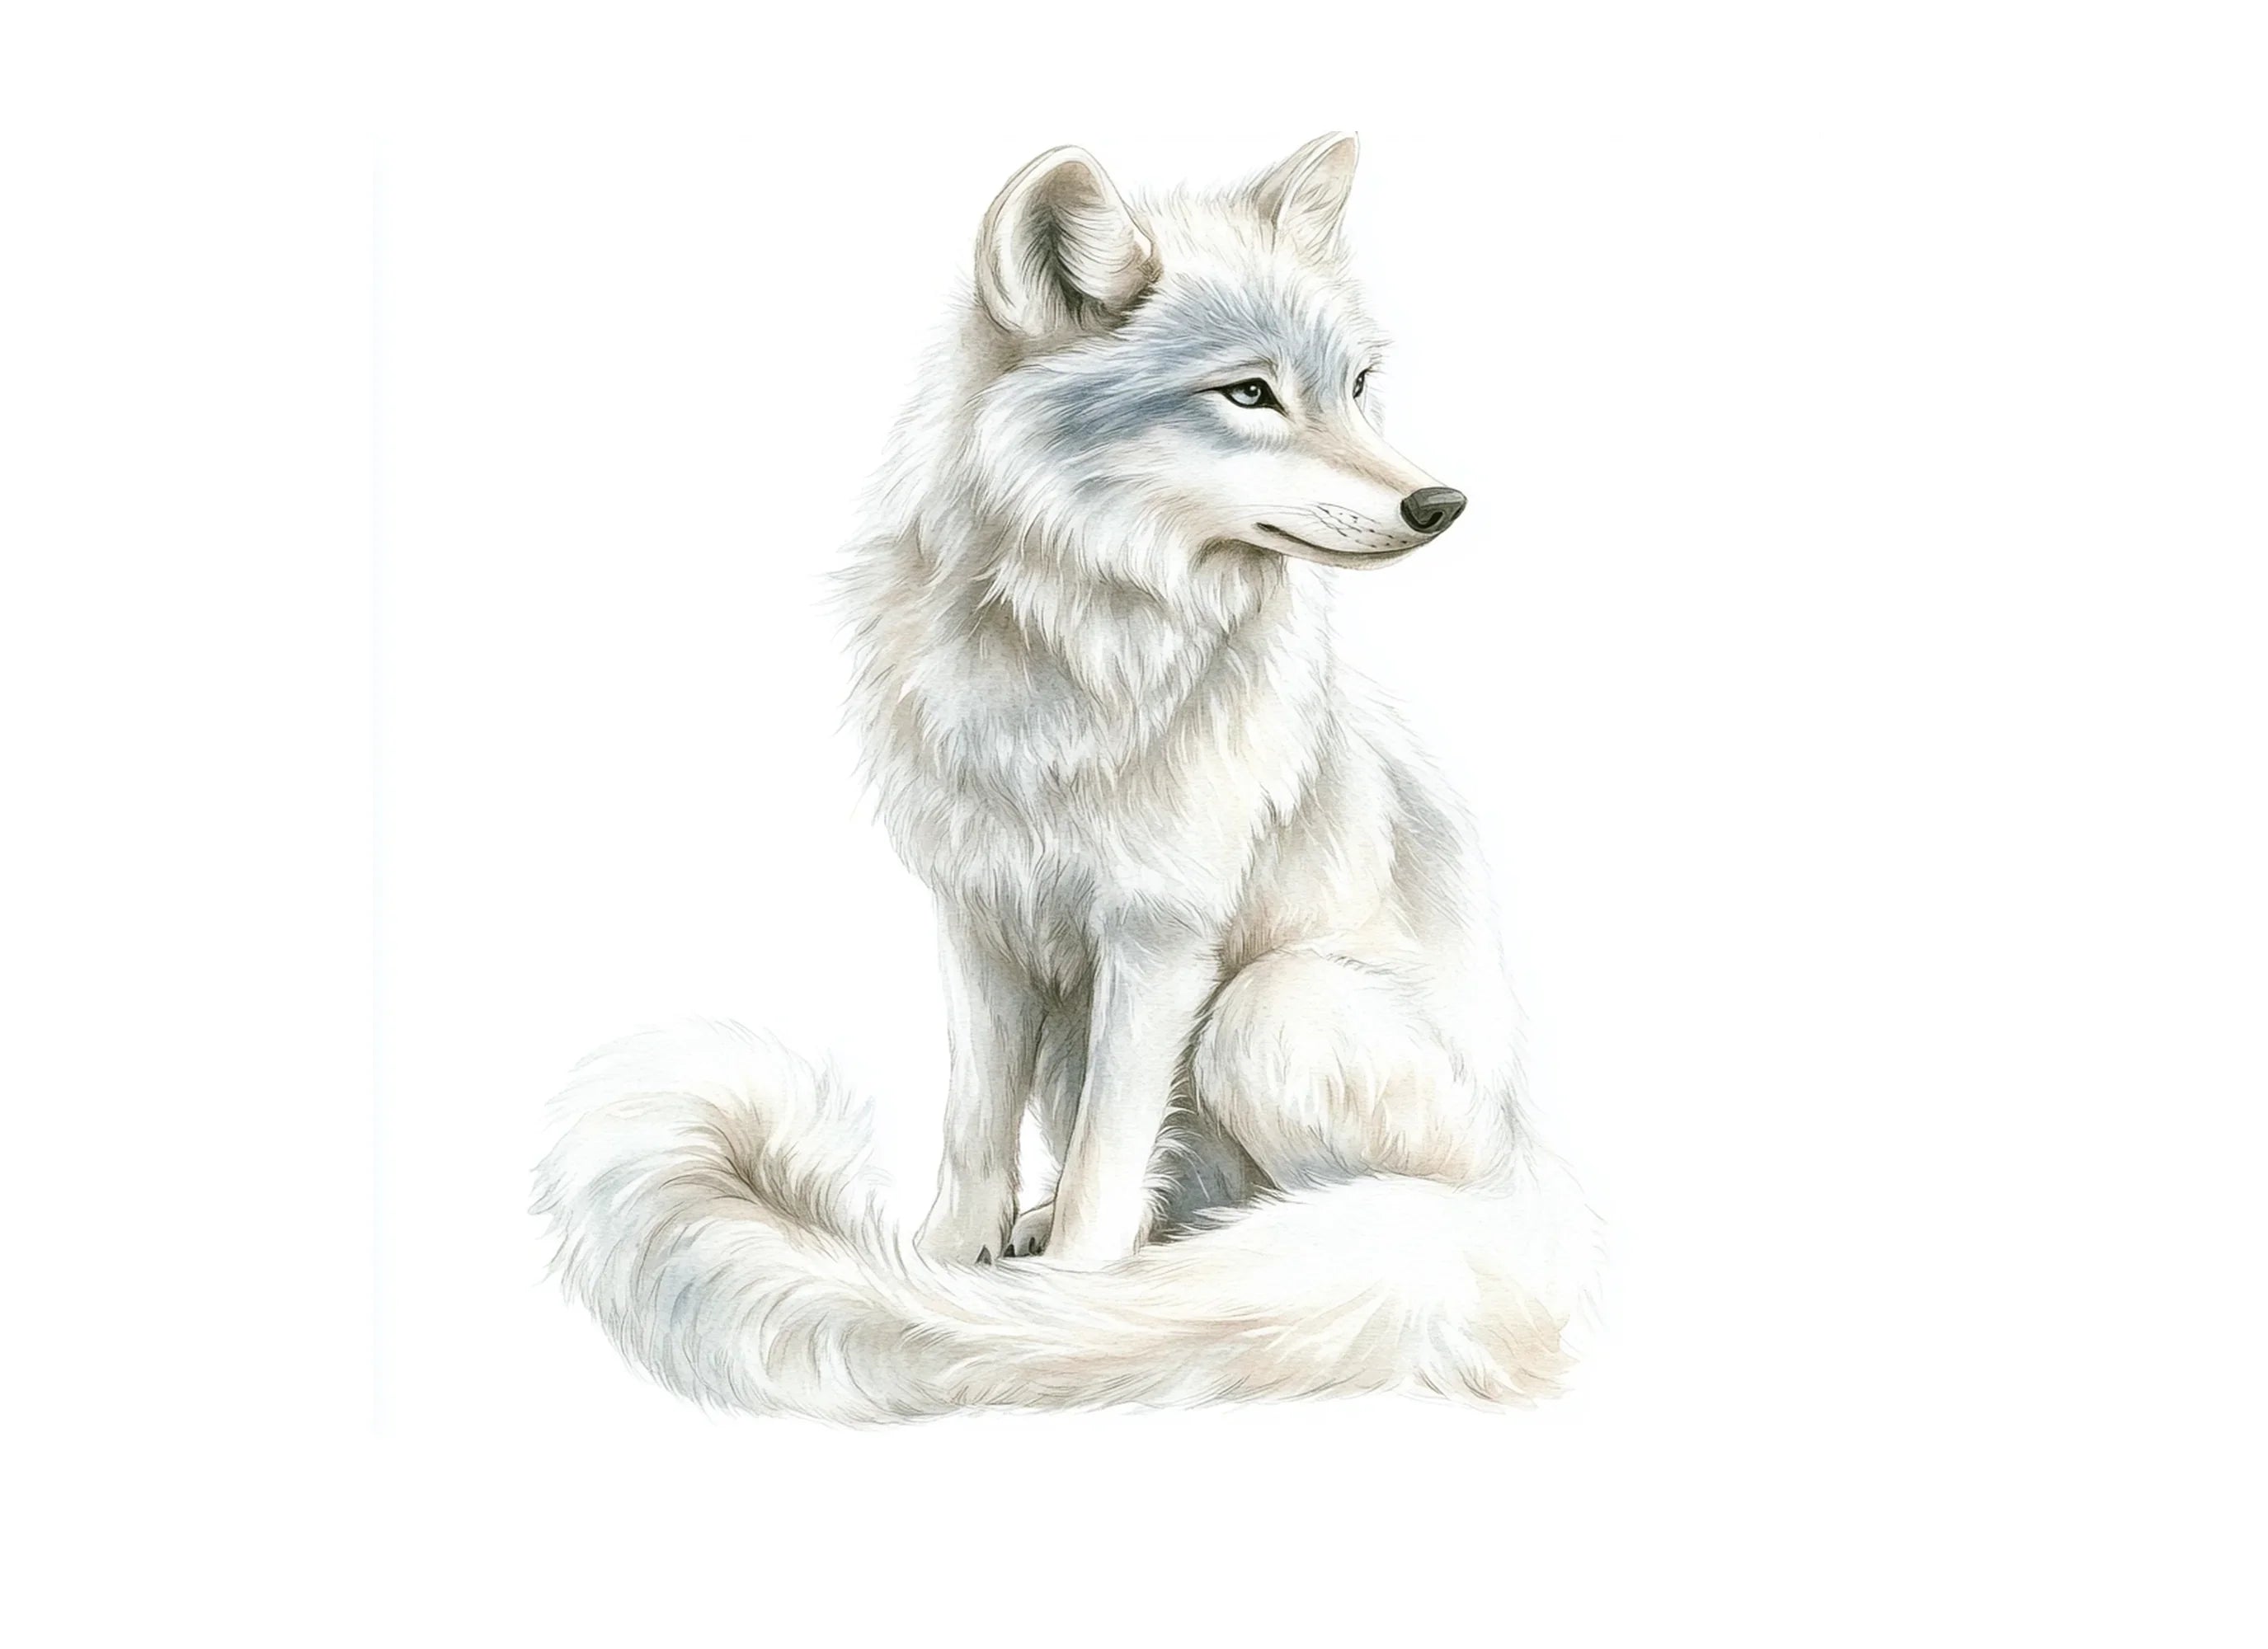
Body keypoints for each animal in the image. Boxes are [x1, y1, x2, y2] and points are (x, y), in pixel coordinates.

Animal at [535, 134, 1596, 1420]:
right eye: (1249, 395)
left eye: (1353, 387)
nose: (1438, 504)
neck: (1073, 662)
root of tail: (1525, 1173)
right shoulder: (978, 918)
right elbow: (972, 1131)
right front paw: (943, 1267)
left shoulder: (1156, 939)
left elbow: (1106, 1161)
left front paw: (1069, 1304)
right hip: (1092, 1027)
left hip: (1262, 1009)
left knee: (1295, 1195)